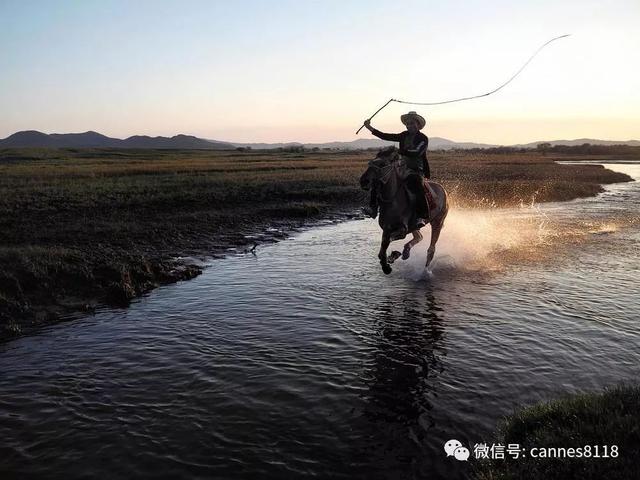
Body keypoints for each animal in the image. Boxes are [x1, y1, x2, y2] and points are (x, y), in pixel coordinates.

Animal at [360, 145, 450, 274]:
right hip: (415, 226)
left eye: (382, 164)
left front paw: (393, 256)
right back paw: (406, 252)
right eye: (370, 163)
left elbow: (388, 241)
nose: (364, 181)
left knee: (431, 249)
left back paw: (425, 271)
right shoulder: (386, 229)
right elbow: (383, 247)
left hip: (437, 222)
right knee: (419, 237)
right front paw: (387, 264)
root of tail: (443, 190)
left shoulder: (402, 229)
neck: (393, 201)